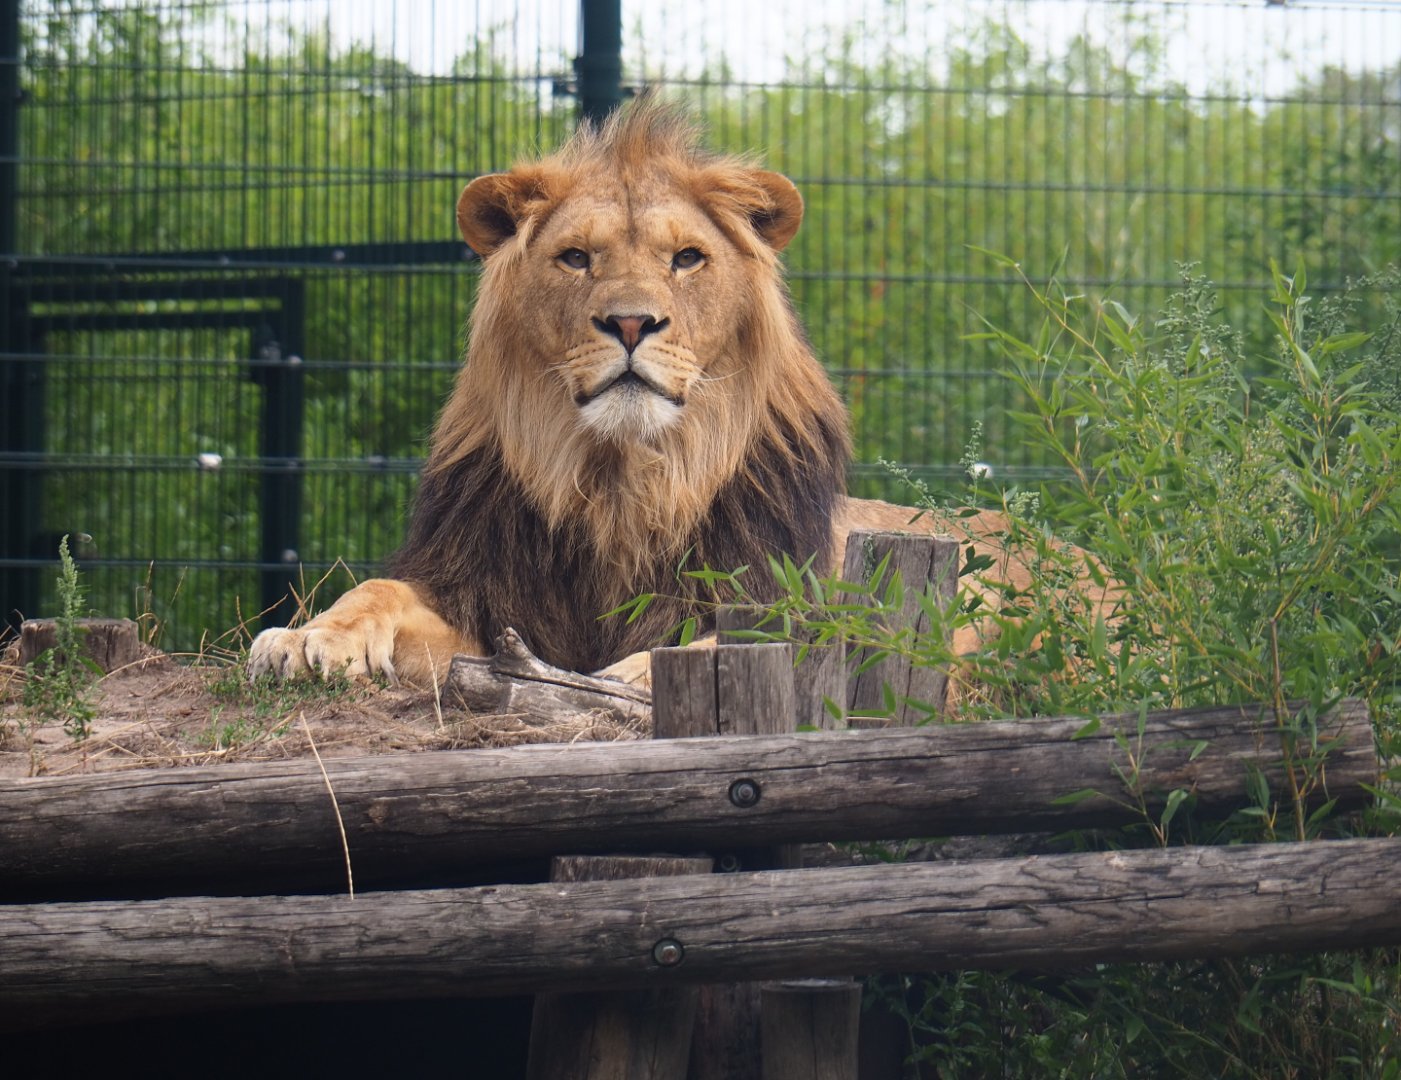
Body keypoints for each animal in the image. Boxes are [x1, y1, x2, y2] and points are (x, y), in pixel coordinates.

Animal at [248, 100, 1072, 691]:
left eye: (686, 258)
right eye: (574, 257)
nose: (630, 322)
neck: (624, 480)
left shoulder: (787, 595)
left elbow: (725, 640)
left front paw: (620, 678)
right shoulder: (480, 593)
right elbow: (377, 588)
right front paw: (308, 637)